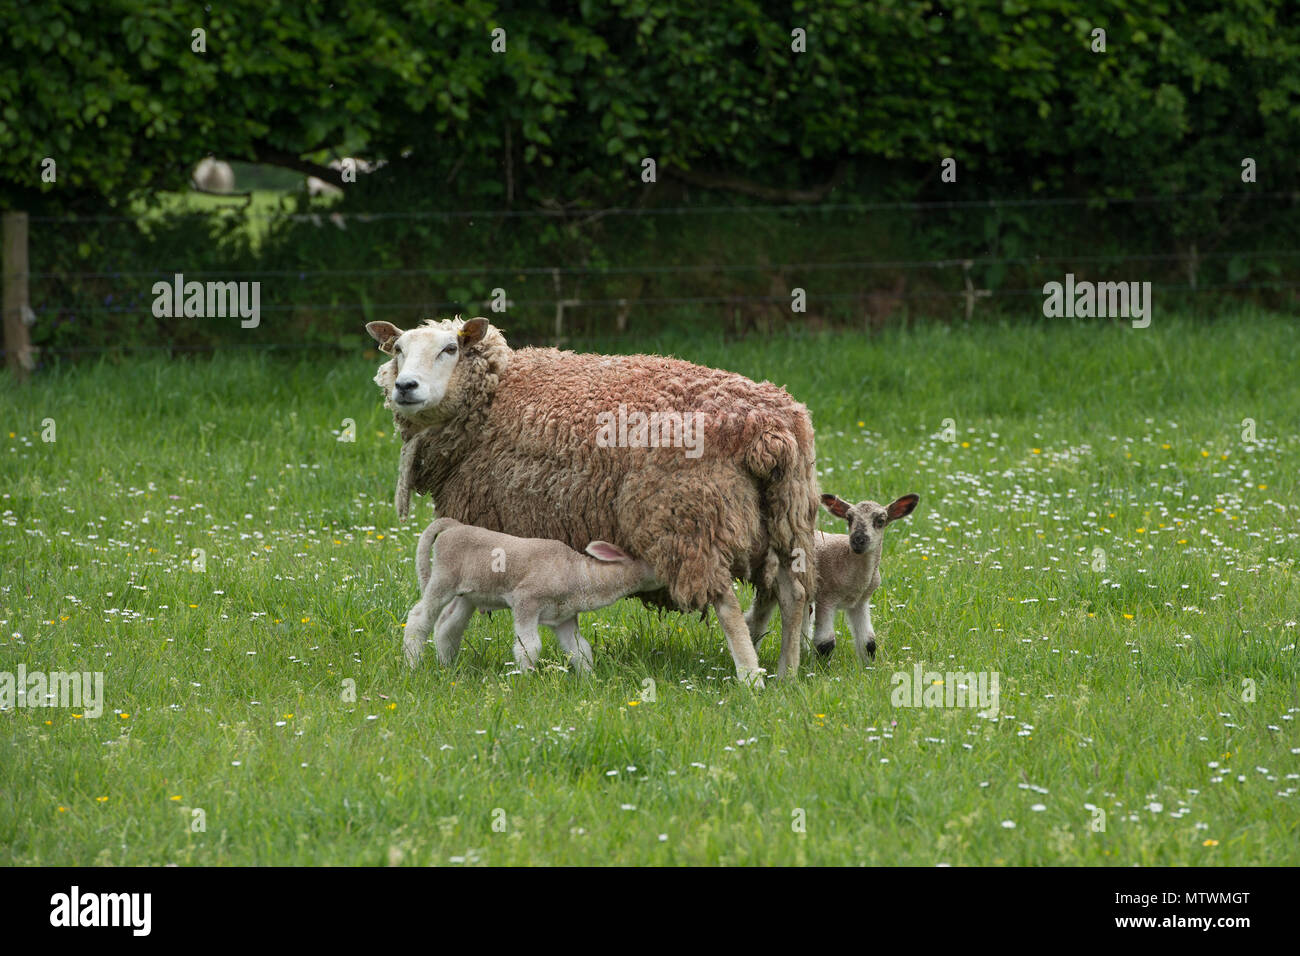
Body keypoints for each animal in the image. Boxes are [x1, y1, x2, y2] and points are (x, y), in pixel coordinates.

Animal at [404, 517, 660, 672]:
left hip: (470, 594)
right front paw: (525, 678)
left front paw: (589, 679)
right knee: (419, 619)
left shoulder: (564, 616)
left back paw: (447, 666)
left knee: (447, 626)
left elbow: (580, 649)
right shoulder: (526, 600)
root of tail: (453, 525)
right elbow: (529, 646)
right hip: (443, 579)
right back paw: (413, 664)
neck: (575, 573)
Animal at [747, 492, 918, 663]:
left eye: (880, 521)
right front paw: (822, 668)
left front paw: (868, 667)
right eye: (849, 519)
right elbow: (825, 643)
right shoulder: (826, 596)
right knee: (757, 618)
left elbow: (869, 643)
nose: (858, 540)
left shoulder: (860, 602)